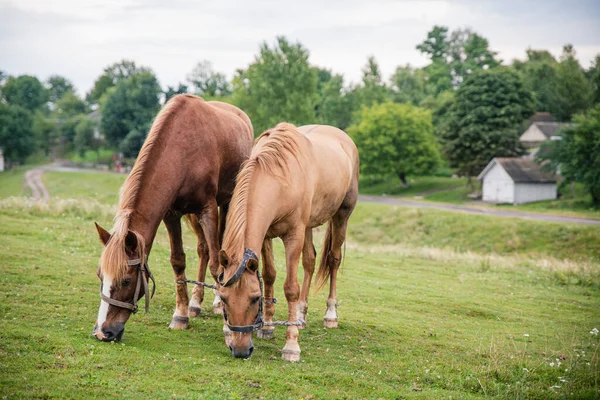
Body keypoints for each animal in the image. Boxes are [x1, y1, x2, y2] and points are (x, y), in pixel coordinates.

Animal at [93, 94, 253, 340]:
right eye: (101, 276)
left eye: (126, 280)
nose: (103, 332)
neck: (182, 151)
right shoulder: (171, 214)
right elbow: (178, 261)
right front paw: (181, 315)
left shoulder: (207, 208)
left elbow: (217, 265)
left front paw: (228, 323)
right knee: (203, 249)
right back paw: (196, 302)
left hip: (226, 204)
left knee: (218, 251)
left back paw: (218, 302)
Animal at [217, 122, 358, 360]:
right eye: (224, 298)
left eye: (254, 298)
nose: (240, 350)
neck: (280, 179)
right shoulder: (265, 236)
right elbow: (269, 275)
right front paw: (267, 327)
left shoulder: (294, 235)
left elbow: (291, 288)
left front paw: (291, 345)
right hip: (309, 226)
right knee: (310, 261)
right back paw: (300, 315)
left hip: (342, 216)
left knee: (334, 260)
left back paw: (330, 315)